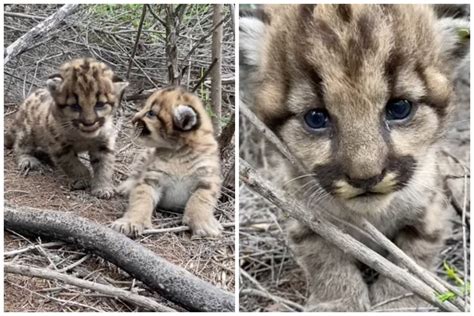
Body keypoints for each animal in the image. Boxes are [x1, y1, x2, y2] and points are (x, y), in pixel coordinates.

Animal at [6, 58, 128, 199]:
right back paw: (28, 160)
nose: (89, 123)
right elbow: (73, 164)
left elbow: (105, 166)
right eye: (75, 106)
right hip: (28, 130)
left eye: (100, 104)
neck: (83, 137)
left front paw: (103, 187)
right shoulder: (59, 146)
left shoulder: (104, 143)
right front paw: (82, 179)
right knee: (20, 145)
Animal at [112, 86, 223, 237]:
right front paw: (130, 222)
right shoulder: (151, 180)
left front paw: (204, 224)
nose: (133, 119)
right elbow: (140, 200)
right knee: (136, 173)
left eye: (151, 113)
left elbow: (200, 200)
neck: (179, 152)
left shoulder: (207, 180)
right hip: (145, 156)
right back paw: (127, 187)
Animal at [243, 4, 468, 312]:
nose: (366, 177)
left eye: (399, 107)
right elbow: (324, 258)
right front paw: (338, 302)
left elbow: (413, 259)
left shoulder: (430, 209)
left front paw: (396, 305)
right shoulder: (303, 214)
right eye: (316, 117)